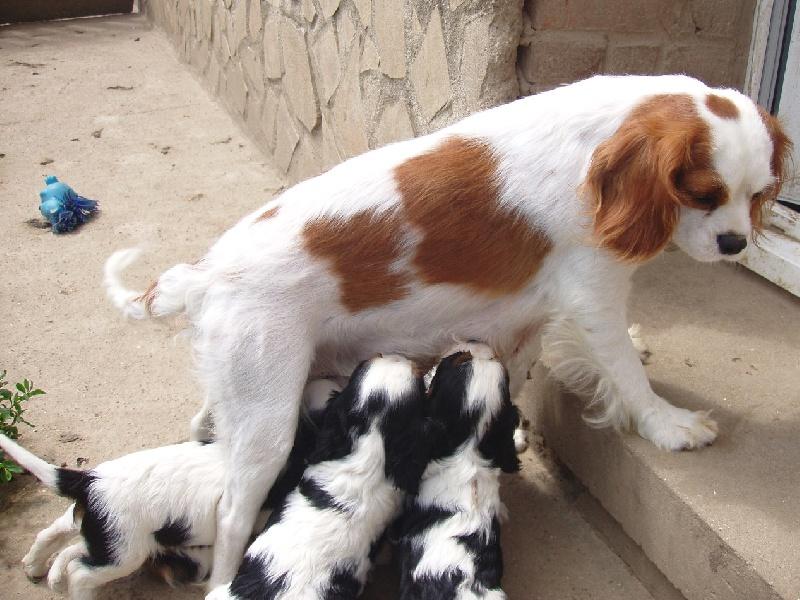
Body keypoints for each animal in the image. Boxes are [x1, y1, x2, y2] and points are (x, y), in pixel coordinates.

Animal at [0, 380, 338, 600]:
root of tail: (89, 481)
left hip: (98, 529)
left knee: (55, 530)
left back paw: (33, 566)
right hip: (124, 551)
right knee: (81, 574)